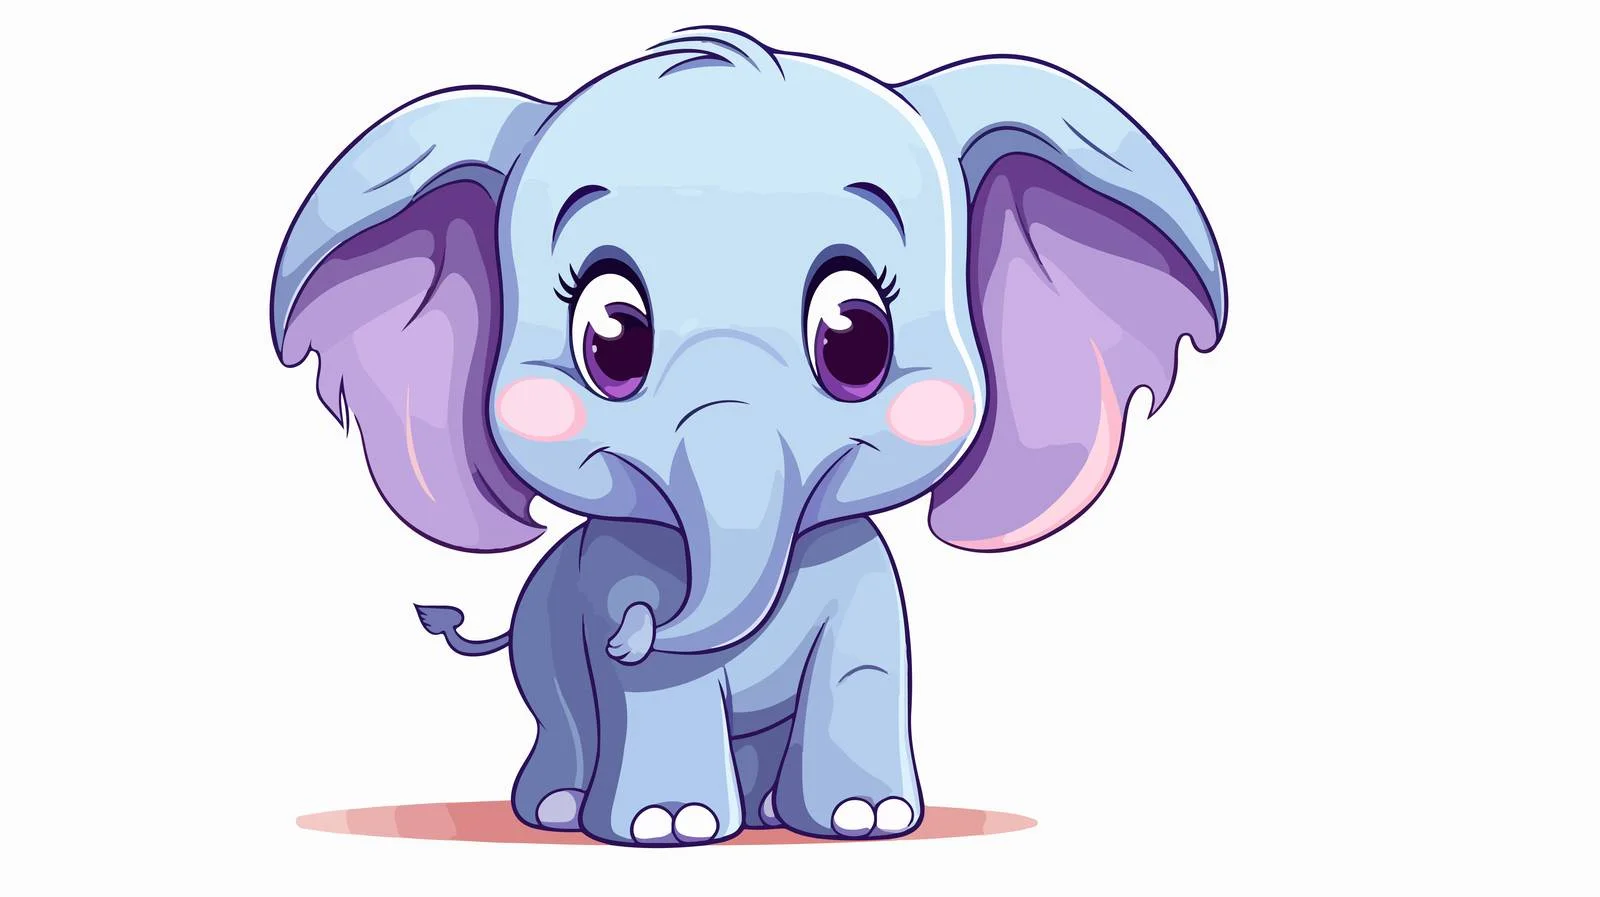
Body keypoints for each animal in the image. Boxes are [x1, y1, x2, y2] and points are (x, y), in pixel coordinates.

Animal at [271, 27, 1226, 846]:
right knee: (563, 709)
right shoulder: (617, 573)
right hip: (543, 634)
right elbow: (651, 686)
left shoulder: (860, 576)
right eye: (610, 342)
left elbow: (863, 666)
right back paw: (563, 809)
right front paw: (670, 828)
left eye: (855, 339)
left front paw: (866, 820)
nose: (633, 628)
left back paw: (765, 814)